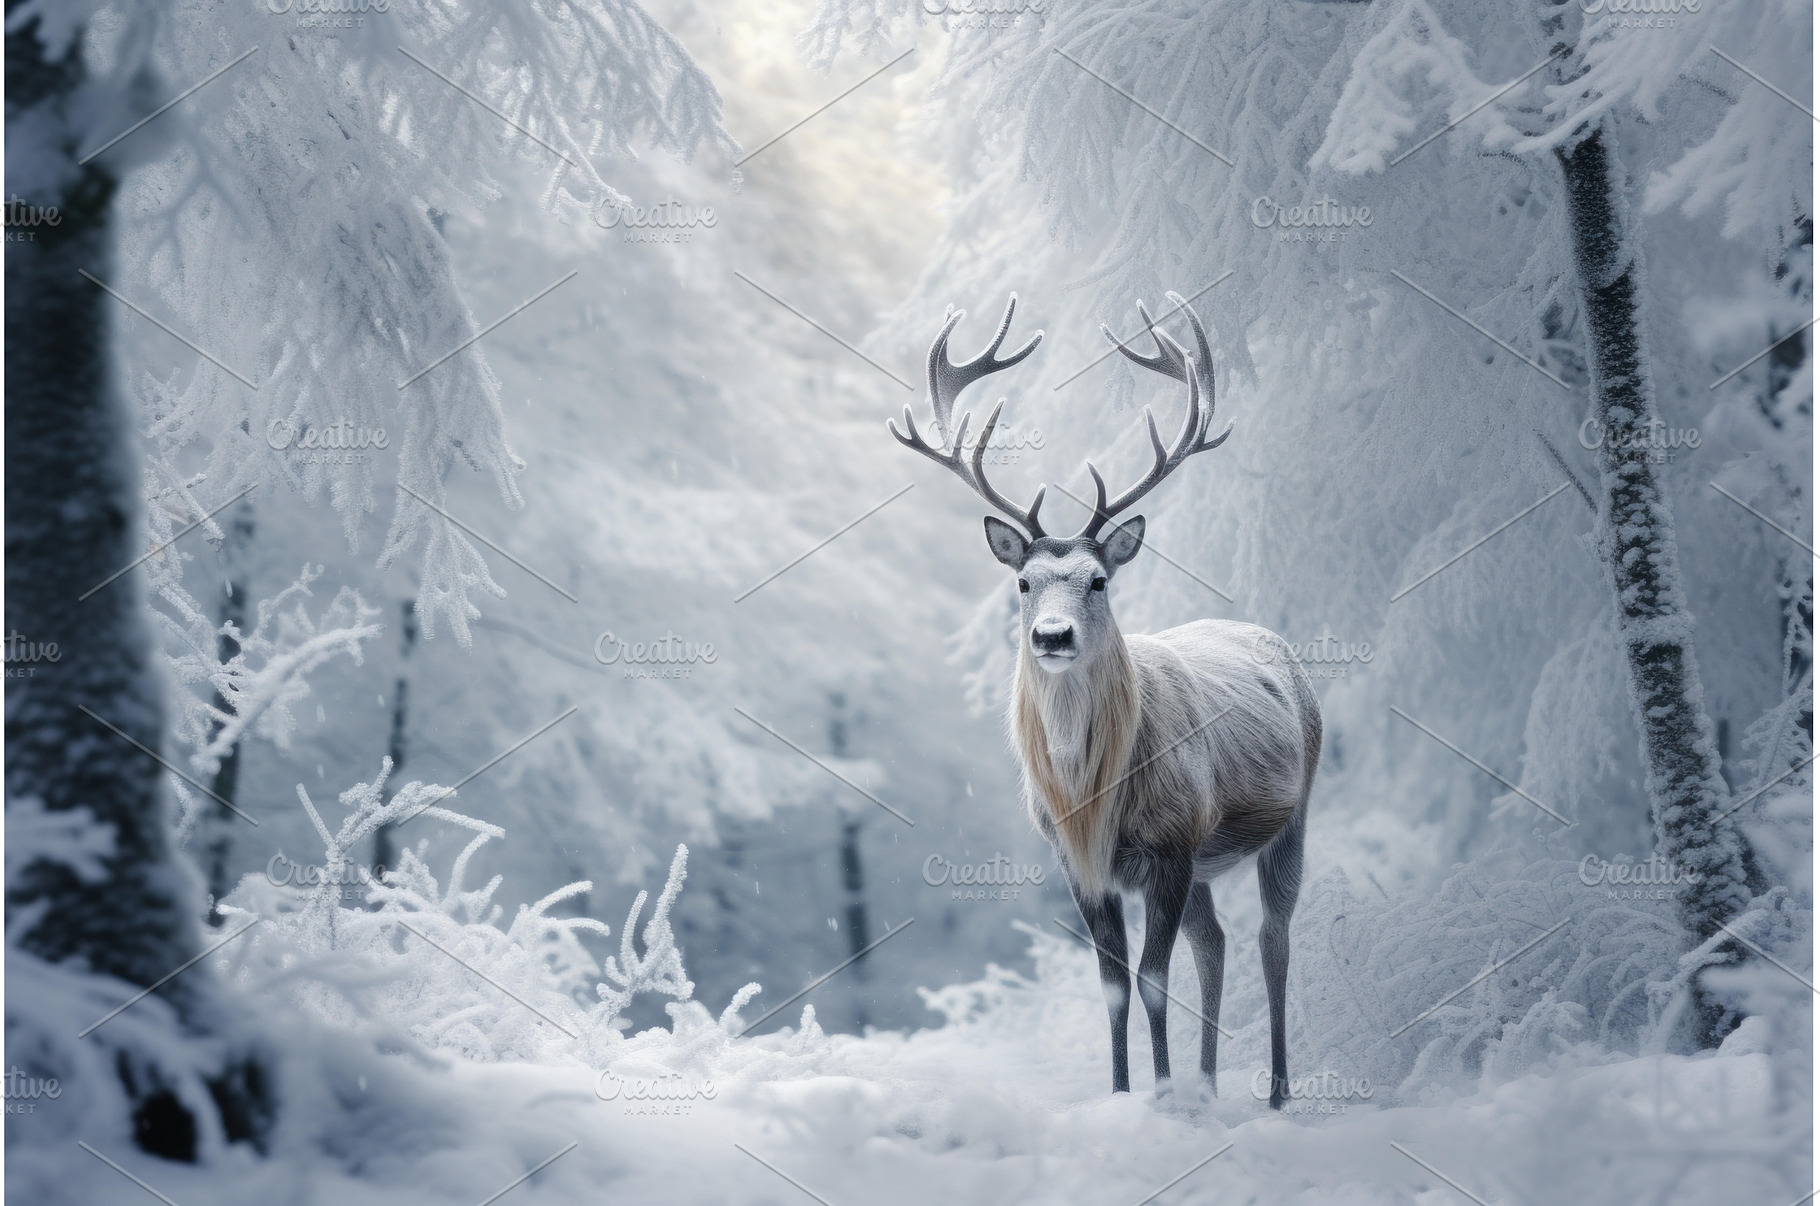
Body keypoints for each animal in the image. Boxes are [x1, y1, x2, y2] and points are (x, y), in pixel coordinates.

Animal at [889, 293, 1321, 1109]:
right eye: (1023, 581)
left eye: (1098, 580)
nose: (1052, 636)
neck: (1092, 794)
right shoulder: (1078, 860)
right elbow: (1114, 988)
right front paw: (1125, 1097)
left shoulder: (1171, 845)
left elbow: (1152, 983)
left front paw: (1158, 1096)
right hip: (1209, 861)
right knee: (1215, 943)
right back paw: (1208, 1087)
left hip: (1294, 811)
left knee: (1273, 940)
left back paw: (1276, 1095)